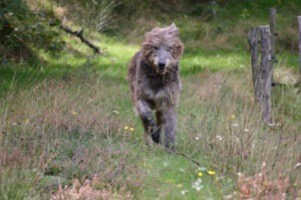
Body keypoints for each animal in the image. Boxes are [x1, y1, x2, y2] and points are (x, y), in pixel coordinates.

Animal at [126, 23, 183, 151]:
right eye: (155, 47)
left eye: (169, 48)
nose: (161, 64)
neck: (158, 77)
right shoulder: (140, 97)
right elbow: (146, 116)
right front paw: (155, 134)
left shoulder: (168, 102)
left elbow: (170, 126)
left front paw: (170, 148)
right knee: (145, 124)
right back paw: (149, 143)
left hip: (159, 109)